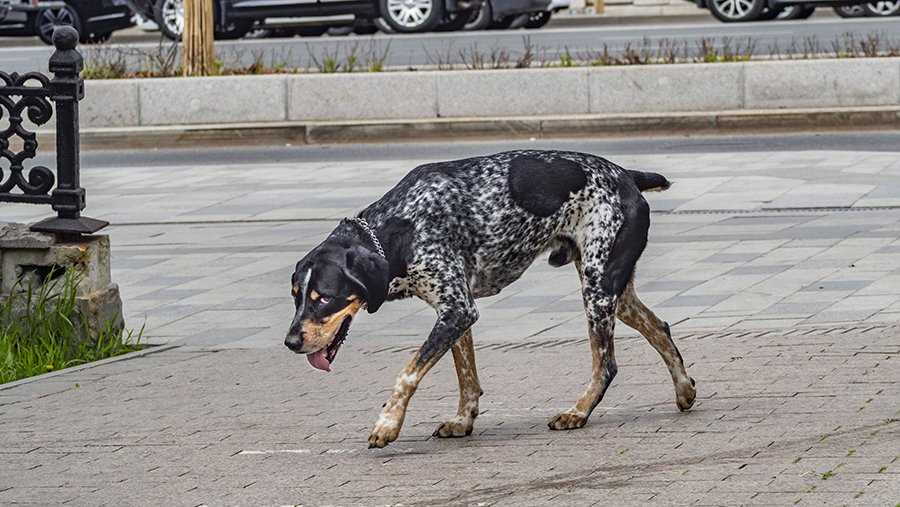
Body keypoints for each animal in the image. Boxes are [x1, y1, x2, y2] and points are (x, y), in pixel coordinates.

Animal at [284, 150, 700, 448]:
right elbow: (466, 376)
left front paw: (388, 423)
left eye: (324, 298)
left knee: (606, 365)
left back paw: (578, 412)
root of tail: (627, 175)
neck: (399, 227)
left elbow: (407, 373)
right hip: (613, 291)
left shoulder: (456, 310)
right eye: (296, 296)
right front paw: (463, 420)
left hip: (597, 291)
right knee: (659, 328)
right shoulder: (456, 313)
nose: (290, 342)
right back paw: (683, 389)